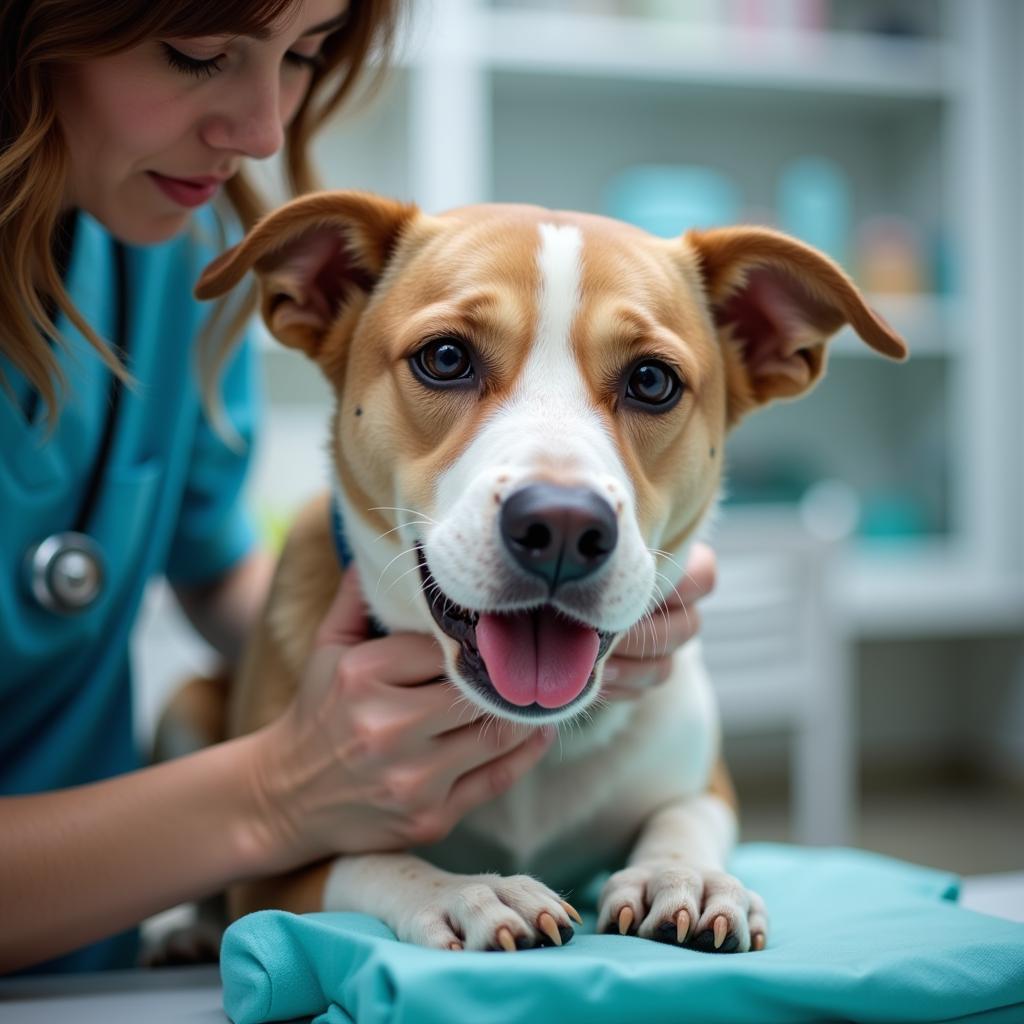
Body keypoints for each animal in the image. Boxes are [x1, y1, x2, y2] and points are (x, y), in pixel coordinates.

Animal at [195, 190, 909, 950]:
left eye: (652, 380)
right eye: (445, 358)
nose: (563, 527)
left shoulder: (707, 784)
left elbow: (685, 815)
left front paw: (683, 875)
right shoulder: (268, 876)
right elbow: (374, 860)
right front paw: (470, 892)